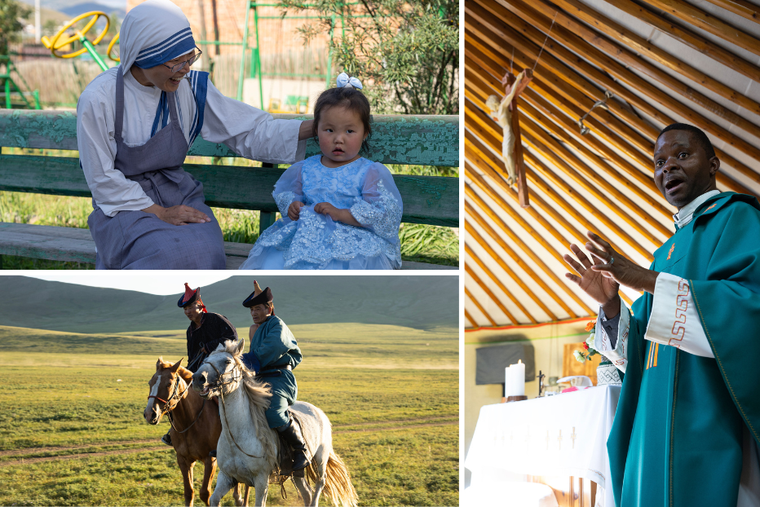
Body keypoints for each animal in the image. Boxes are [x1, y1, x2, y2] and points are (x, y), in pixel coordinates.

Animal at [143, 360, 249, 506]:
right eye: (150, 382)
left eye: (168, 384)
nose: (149, 414)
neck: (190, 421)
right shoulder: (183, 459)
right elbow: (189, 493)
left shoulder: (210, 460)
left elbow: (205, 493)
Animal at [190, 340, 356, 507]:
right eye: (206, 359)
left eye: (227, 361)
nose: (197, 378)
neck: (237, 438)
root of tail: (319, 412)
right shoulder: (227, 477)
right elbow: (214, 499)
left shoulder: (261, 481)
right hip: (297, 471)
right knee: (307, 493)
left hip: (321, 458)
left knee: (320, 483)